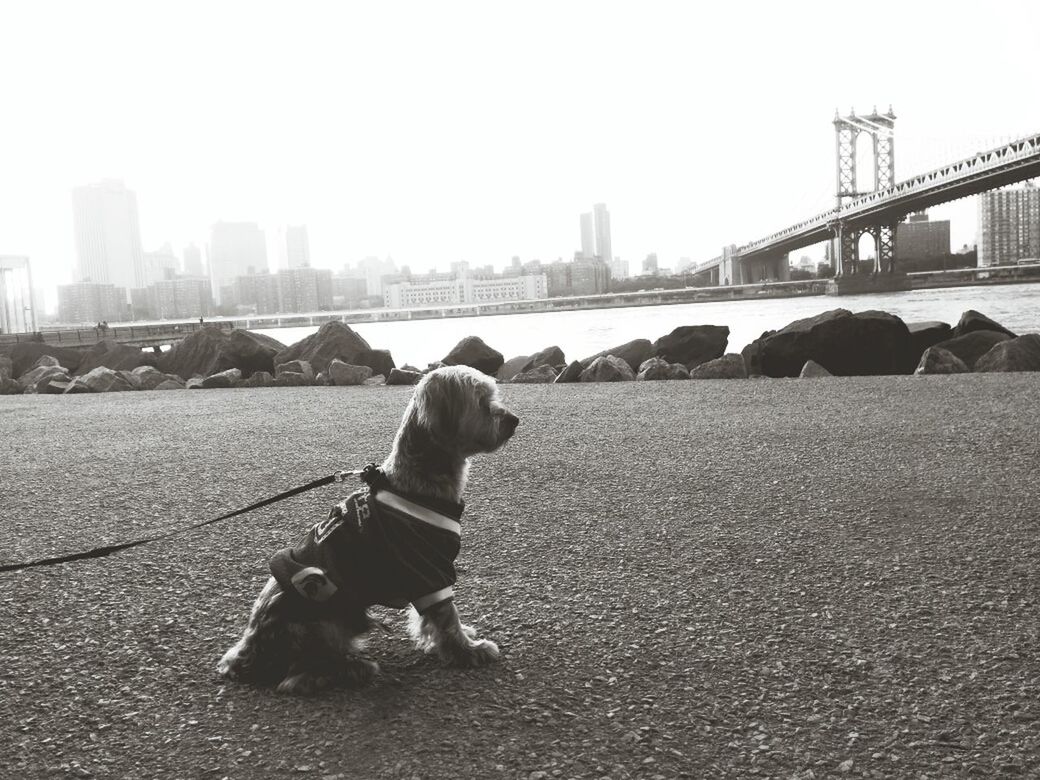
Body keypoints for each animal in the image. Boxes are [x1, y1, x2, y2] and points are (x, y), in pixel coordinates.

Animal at [216, 366, 520, 694]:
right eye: (481, 402)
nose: (514, 419)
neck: (418, 482)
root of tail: (246, 654)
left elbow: (431, 620)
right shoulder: (429, 568)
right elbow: (447, 616)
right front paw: (469, 650)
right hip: (324, 618)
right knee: (298, 677)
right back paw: (354, 668)